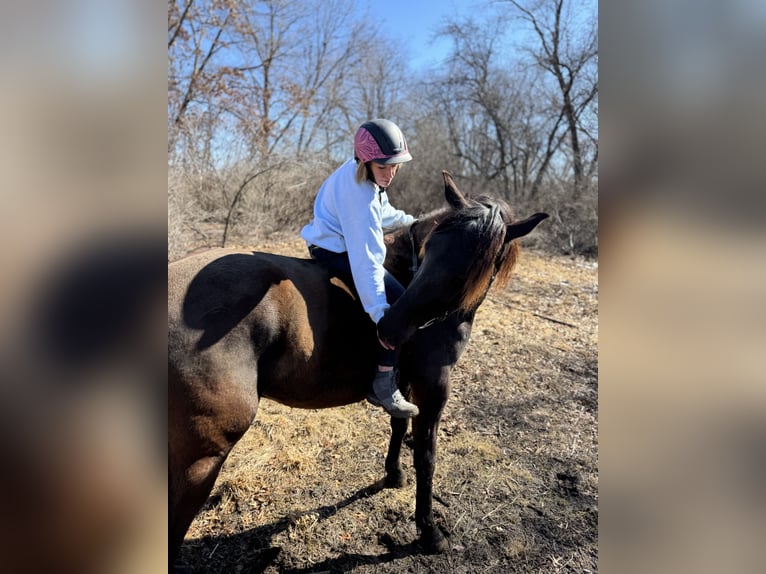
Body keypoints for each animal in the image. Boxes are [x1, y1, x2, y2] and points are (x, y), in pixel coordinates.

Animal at [168, 171, 548, 567]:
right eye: (431, 248)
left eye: (465, 271)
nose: (390, 328)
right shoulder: (433, 385)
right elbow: (426, 456)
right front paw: (428, 531)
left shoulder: (405, 384)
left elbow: (398, 424)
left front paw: (393, 475)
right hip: (201, 461)